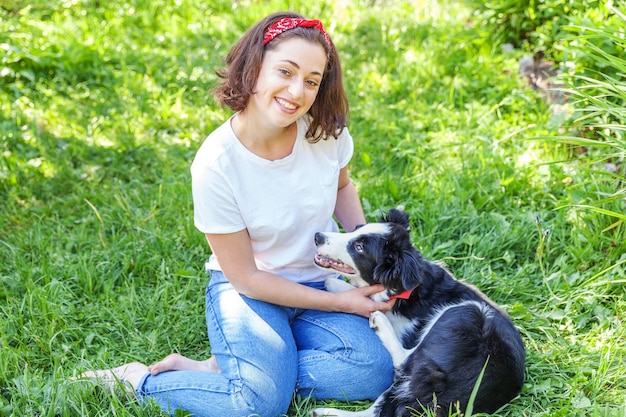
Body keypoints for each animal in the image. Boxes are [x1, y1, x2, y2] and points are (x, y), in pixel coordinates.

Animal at [310, 208, 520, 416]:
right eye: (356, 228)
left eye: (359, 247)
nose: (317, 236)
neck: (405, 288)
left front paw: (335, 284)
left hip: (466, 313)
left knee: (404, 361)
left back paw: (380, 322)